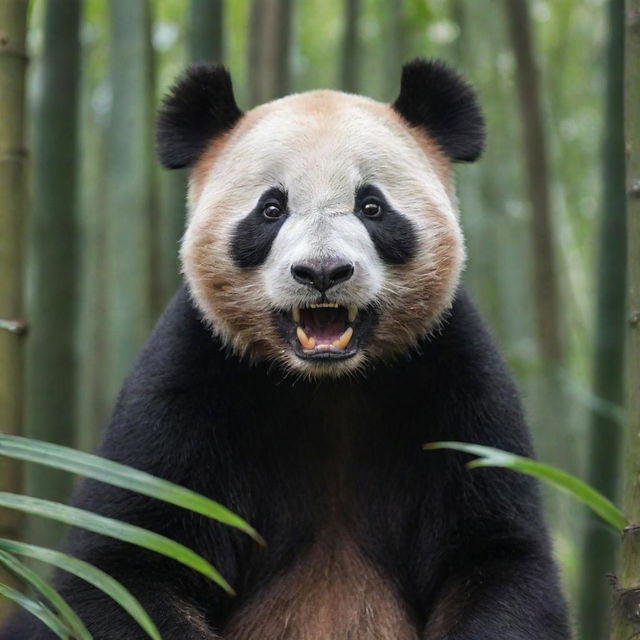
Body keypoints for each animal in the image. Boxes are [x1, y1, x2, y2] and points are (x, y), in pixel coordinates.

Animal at [1, 58, 568, 636]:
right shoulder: (190, 375)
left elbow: (497, 557)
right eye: (271, 209)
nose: (322, 272)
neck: (327, 381)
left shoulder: (451, 375)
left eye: (372, 206)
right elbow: (124, 565)